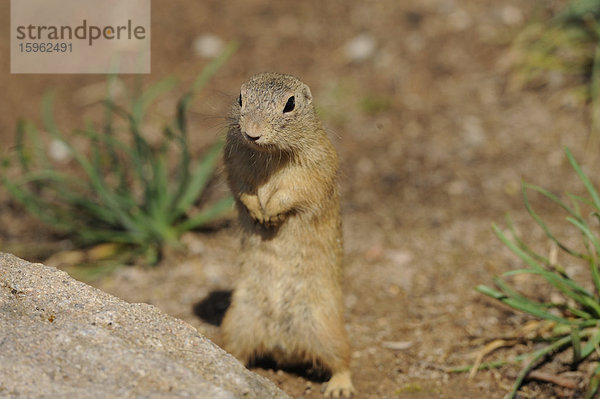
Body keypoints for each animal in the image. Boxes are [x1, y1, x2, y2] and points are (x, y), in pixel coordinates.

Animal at [224, 72, 356, 399]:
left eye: (290, 104)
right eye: (241, 98)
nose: (252, 133)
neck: (267, 156)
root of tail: (283, 348)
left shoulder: (311, 169)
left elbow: (293, 192)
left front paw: (270, 213)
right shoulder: (235, 162)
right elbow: (242, 188)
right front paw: (258, 212)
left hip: (327, 330)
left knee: (342, 361)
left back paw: (339, 388)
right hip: (238, 322)